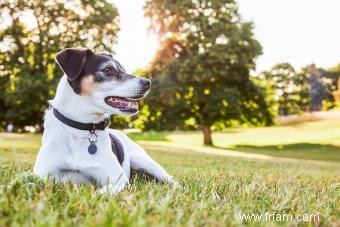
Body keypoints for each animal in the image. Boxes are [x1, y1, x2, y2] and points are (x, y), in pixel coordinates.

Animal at [32, 47, 178, 193]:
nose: (148, 83)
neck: (81, 128)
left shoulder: (119, 181)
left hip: (143, 160)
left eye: (124, 69)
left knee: (171, 180)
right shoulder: (41, 174)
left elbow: (99, 193)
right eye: (108, 70)